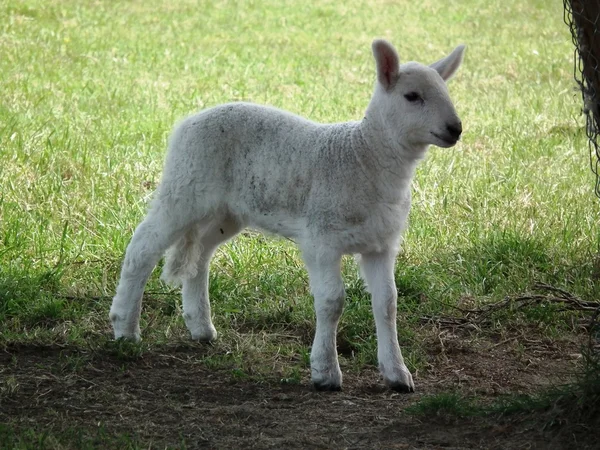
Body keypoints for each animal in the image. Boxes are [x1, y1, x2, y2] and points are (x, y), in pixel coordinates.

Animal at [110, 38, 466, 392]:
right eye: (412, 96)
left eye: (446, 92)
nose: (455, 128)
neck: (363, 156)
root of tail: (188, 121)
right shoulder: (321, 239)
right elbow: (332, 301)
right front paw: (325, 371)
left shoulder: (382, 243)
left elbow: (388, 303)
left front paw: (397, 374)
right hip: (184, 185)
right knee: (143, 247)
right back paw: (125, 329)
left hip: (228, 209)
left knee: (201, 253)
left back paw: (201, 328)